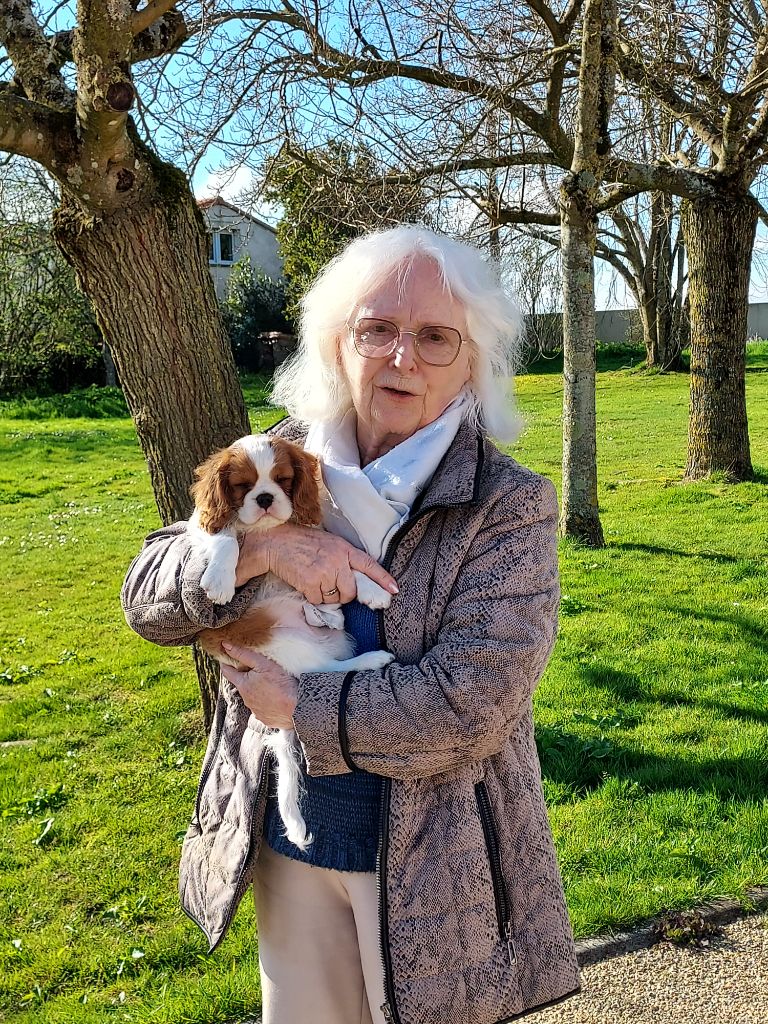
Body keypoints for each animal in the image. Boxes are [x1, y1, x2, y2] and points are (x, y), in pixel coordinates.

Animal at [187, 433, 393, 850]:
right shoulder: (198, 527)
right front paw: (219, 580)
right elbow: (225, 539)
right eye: (242, 486)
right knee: (320, 671)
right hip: (280, 642)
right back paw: (369, 657)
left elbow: (346, 565)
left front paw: (372, 589)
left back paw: (325, 613)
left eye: (283, 480)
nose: (265, 498)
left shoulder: (319, 542)